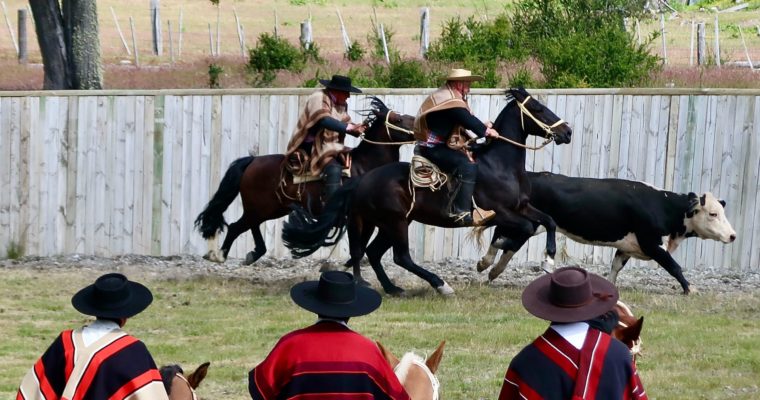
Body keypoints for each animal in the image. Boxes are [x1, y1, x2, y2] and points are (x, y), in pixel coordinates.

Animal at [193, 97, 412, 266]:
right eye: (398, 119)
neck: (366, 166)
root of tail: (253, 161)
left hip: (269, 210)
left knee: (247, 226)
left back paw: (251, 254)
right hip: (258, 208)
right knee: (236, 227)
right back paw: (220, 256)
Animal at [282, 89, 572, 296]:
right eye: (537, 108)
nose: (566, 131)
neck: (500, 165)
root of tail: (362, 180)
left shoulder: (522, 207)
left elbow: (547, 222)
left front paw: (547, 260)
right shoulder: (499, 213)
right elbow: (525, 228)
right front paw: (488, 262)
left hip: (390, 224)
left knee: (372, 252)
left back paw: (392, 288)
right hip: (394, 223)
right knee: (399, 257)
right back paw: (441, 285)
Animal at [480, 172, 736, 294]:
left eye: (723, 211)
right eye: (713, 213)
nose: (733, 235)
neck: (663, 206)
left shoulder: (627, 248)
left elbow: (615, 268)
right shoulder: (652, 243)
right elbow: (674, 266)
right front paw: (690, 289)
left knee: (506, 242)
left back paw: (491, 270)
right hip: (530, 223)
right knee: (501, 236)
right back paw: (486, 264)